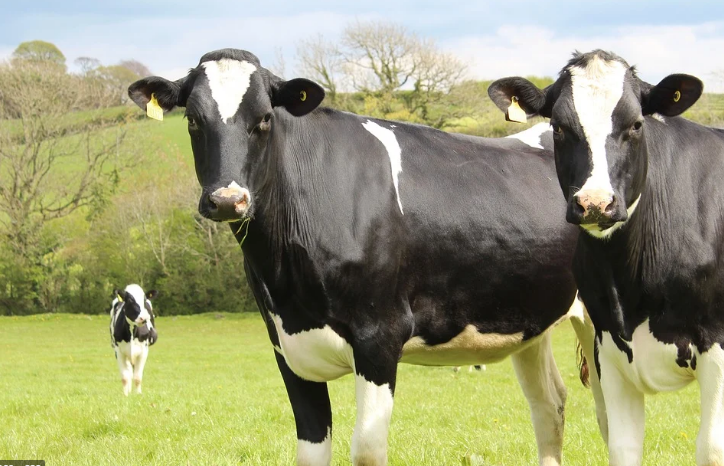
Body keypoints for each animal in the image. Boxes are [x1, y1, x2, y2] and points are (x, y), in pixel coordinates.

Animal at [127, 48, 604, 466]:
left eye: (263, 118)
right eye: (192, 120)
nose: (228, 199)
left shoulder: (379, 336)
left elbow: (368, 450)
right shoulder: (285, 345)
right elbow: (310, 451)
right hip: (529, 319)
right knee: (550, 404)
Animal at [488, 49, 724, 466]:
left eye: (636, 124)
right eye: (559, 128)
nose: (595, 203)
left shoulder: (717, 346)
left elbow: (711, 447)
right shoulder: (610, 349)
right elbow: (622, 445)